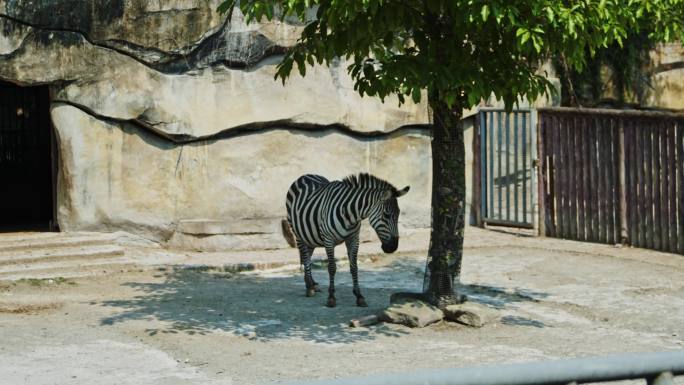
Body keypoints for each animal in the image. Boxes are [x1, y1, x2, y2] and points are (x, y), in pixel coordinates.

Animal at [284, 172, 408, 308]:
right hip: (298, 233)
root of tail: (306, 175)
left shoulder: (353, 239)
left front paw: (359, 296)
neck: (350, 214)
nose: (393, 247)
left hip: (310, 235)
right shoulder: (329, 240)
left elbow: (354, 267)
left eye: (399, 214)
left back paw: (312, 284)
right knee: (305, 257)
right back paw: (309, 288)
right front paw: (331, 297)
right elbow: (332, 268)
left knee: (308, 256)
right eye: (386, 215)